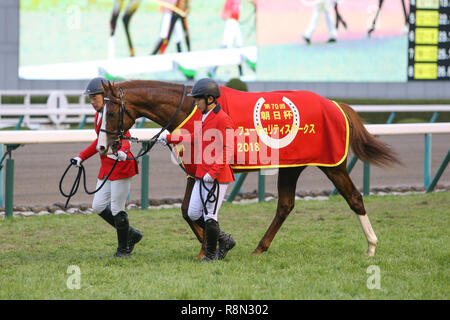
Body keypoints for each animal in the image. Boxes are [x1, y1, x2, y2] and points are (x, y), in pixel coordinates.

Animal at [96, 80, 400, 258]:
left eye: (112, 112)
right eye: (100, 111)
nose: (103, 146)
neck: (190, 110)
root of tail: (335, 104)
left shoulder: (205, 169)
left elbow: (194, 211)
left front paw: (217, 245)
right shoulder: (195, 171)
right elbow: (187, 211)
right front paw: (215, 244)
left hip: (332, 164)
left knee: (354, 198)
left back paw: (371, 246)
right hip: (291, 166)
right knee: (285, 205)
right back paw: (260, 247)